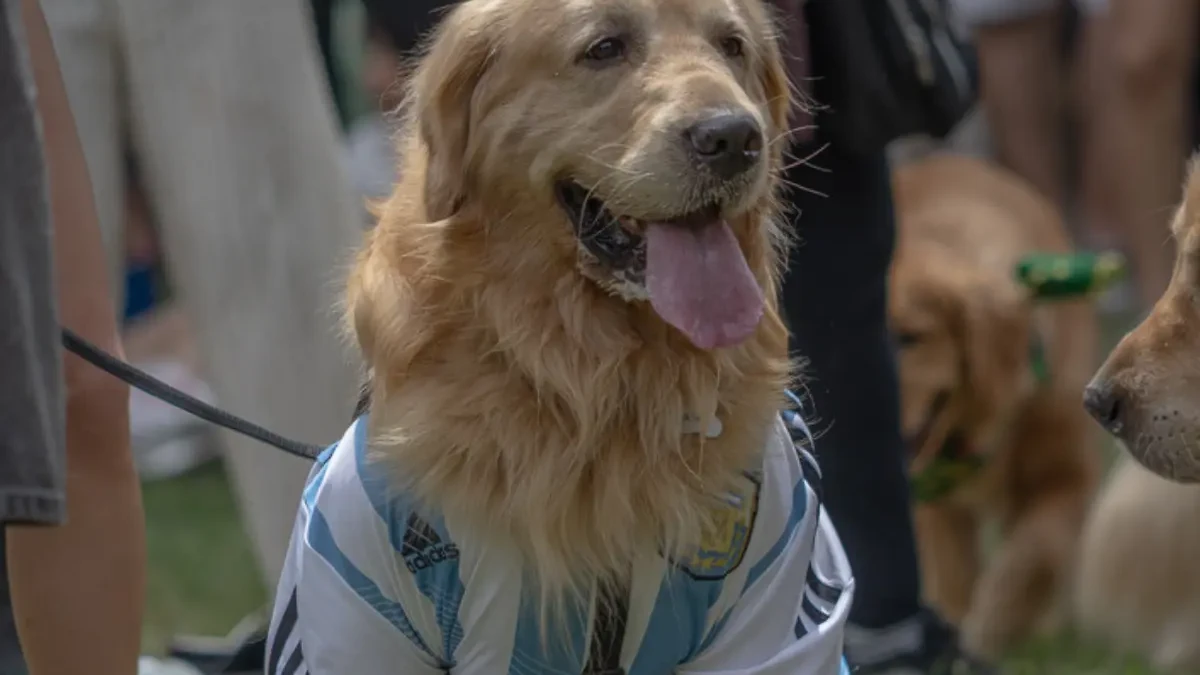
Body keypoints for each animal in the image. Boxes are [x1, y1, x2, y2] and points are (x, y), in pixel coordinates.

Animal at [265, 1, 856, 672]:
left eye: (732, 46)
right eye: (604, 48)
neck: (590, 385)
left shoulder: (775, 589)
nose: (734, 138)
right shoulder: (351, 583)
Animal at [888, 154, 1101, 658]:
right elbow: (954, 576)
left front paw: (989, 632)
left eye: (910, 337)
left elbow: (1033, 558)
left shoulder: (1069, 475)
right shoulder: (934, 502)